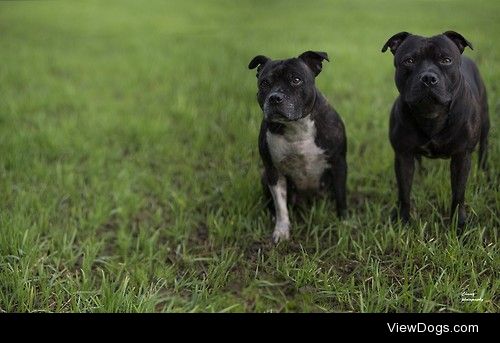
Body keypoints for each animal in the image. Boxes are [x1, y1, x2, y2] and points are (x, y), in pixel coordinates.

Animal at [247, 51, 348, 245]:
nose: (275, 97)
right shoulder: (273, 171)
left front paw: (343, 221)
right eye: (264, 83)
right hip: (264, 176)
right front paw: (281, 230)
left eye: (296, 80)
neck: (297, 126)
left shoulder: (338, 163)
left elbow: (341, 195)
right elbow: (280, 205)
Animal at [382, 31, 488, 228]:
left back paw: (484, 172)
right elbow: (404, 191)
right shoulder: (403, 155)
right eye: (409, 60)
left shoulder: (462, 156)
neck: (431, 114)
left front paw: (458, 224)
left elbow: (458, 194)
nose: (428, 78)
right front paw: (404, 220)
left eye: (446, 60)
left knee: (485, 146)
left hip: (485, 121)